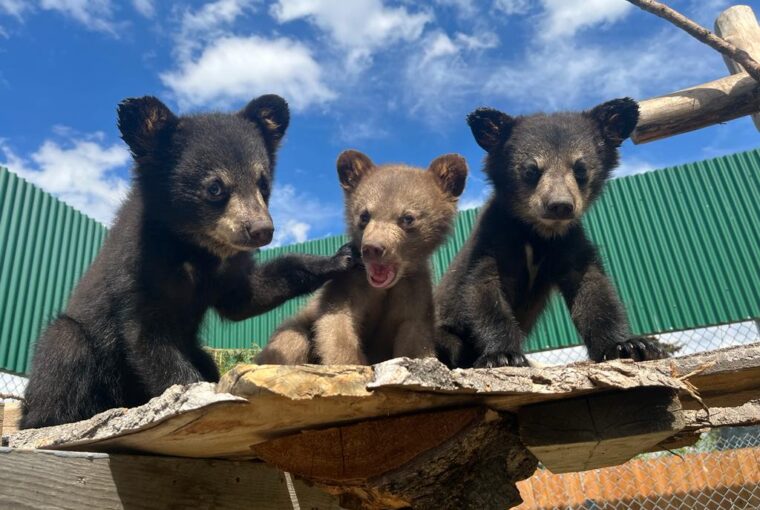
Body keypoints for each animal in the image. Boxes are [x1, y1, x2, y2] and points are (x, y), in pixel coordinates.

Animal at [20, 94, 355, 429]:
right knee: (64, 351)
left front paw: (341, 257)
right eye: (215, 187)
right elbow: (147, 339)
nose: (262, 230)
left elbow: (246, 296)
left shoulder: (226, 270)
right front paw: (198, 394)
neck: (198, 248)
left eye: (263, 184)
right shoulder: (139, 268)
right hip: (73, 351)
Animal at [256, 150, 467, 365]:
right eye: (364, 215)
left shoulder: (414, 292)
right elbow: (337, 326)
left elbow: (414, 337)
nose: (372, 248)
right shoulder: (350, 285)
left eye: (407, 218)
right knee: (290, 340)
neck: (384, 288)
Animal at [435, 98, 667, 368]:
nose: (560, 205)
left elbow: (592, 287)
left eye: (580, 169)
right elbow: (483, 289)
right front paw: (503, 355)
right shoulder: (493, 239)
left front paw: (629, 345)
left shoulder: (568, 242)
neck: (538, 234)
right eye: (531, 170)